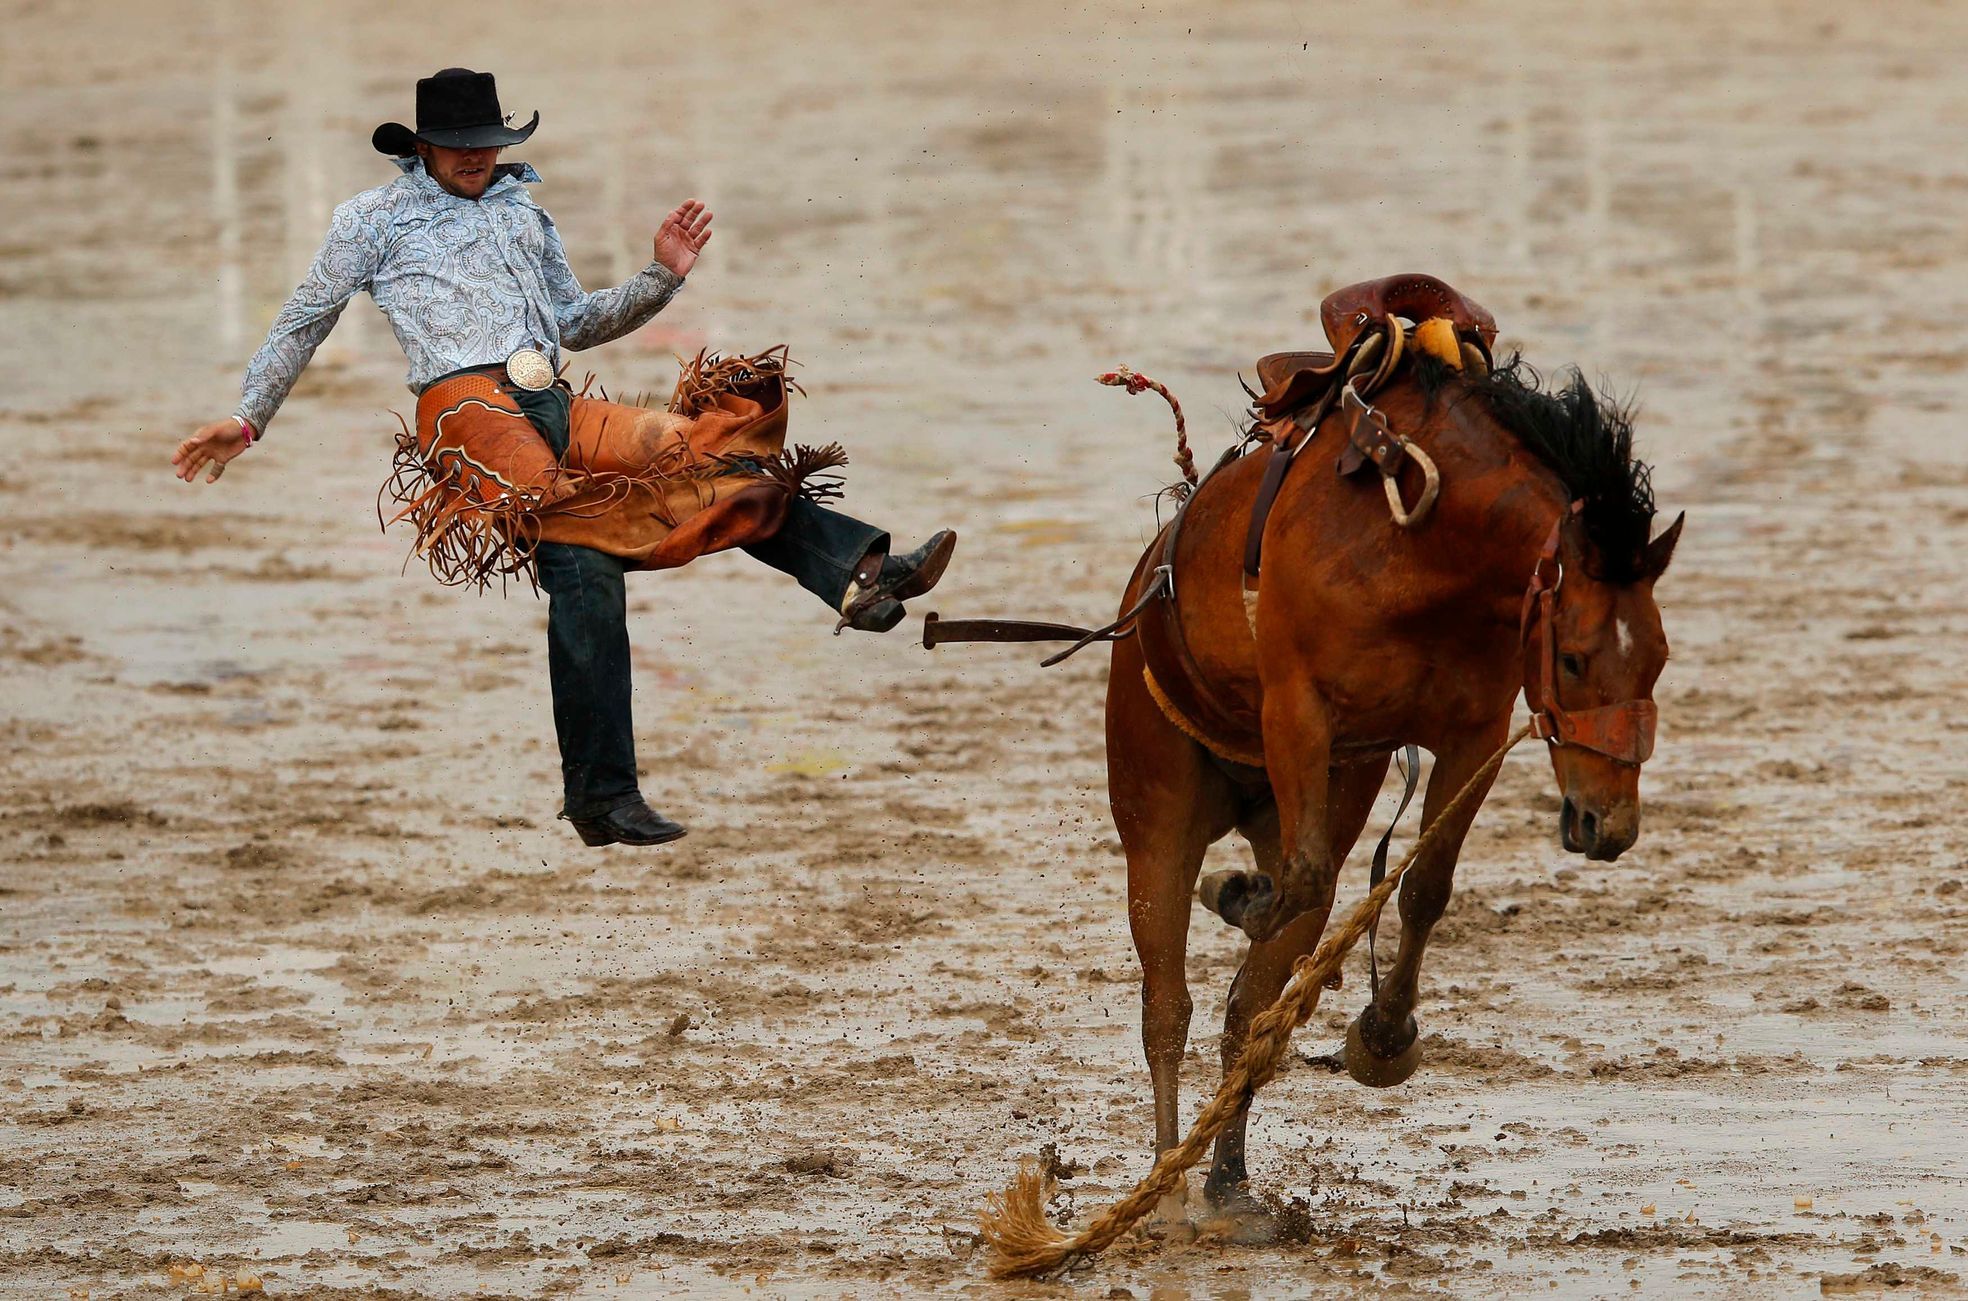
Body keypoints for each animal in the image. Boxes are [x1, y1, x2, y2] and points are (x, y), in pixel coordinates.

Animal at [928, 271, 1684, 1228]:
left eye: (1657, 656)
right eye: (1578, 656)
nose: (1608, 823)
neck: (1424, 538)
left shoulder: (1469, 735)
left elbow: (1421, 887)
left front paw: (1385, 1037)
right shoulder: (1300, 711)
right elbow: (1307, 884)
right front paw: (1248, 905)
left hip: (1322, 788)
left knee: (1252, 999)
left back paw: (1228, 1174)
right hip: (1157, 811)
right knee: (1170, 1003)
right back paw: (1169, 1174)